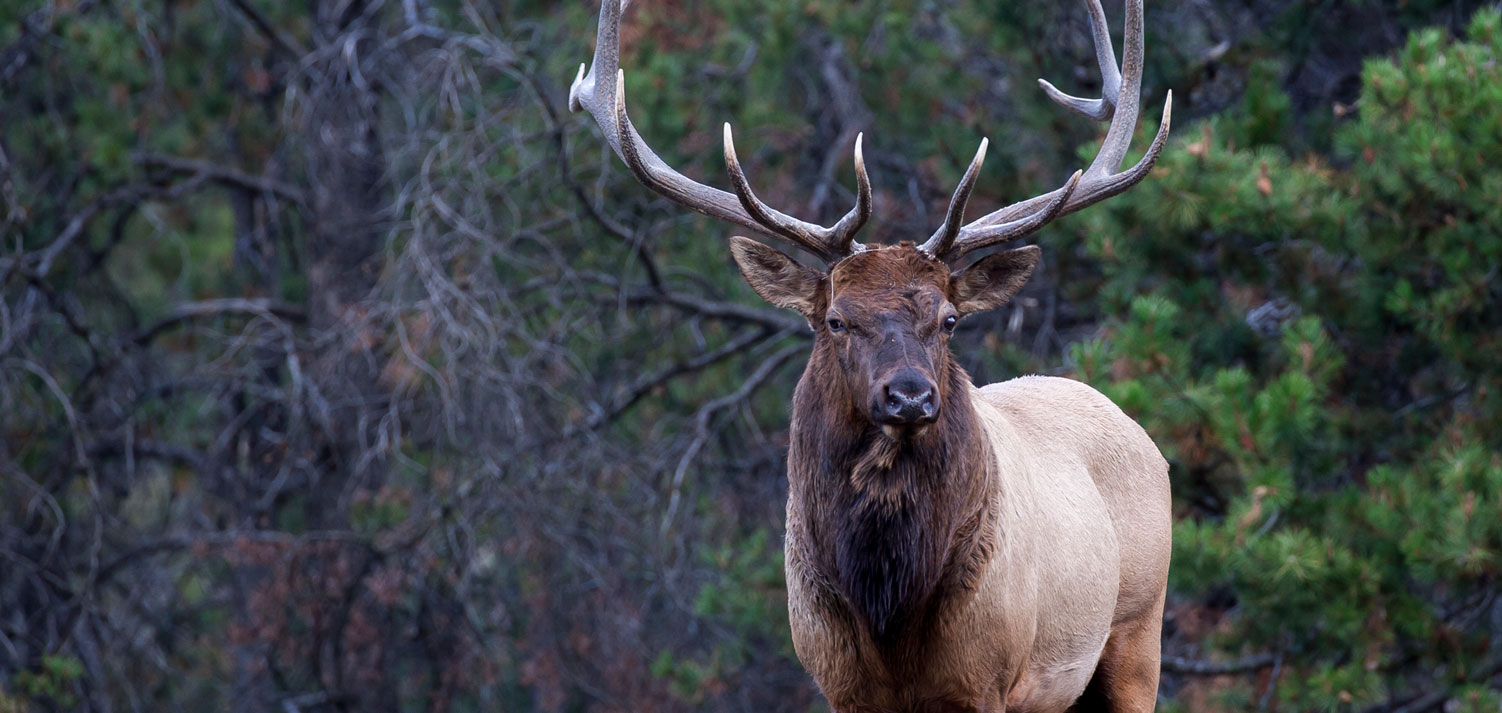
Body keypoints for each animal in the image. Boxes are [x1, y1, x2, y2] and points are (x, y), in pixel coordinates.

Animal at [570, 2, 1171, 711]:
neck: (888, 613)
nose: (909, 395)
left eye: (949, 320)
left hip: (1137, 631)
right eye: (835, 319)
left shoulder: (988, 678)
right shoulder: (838, 681)